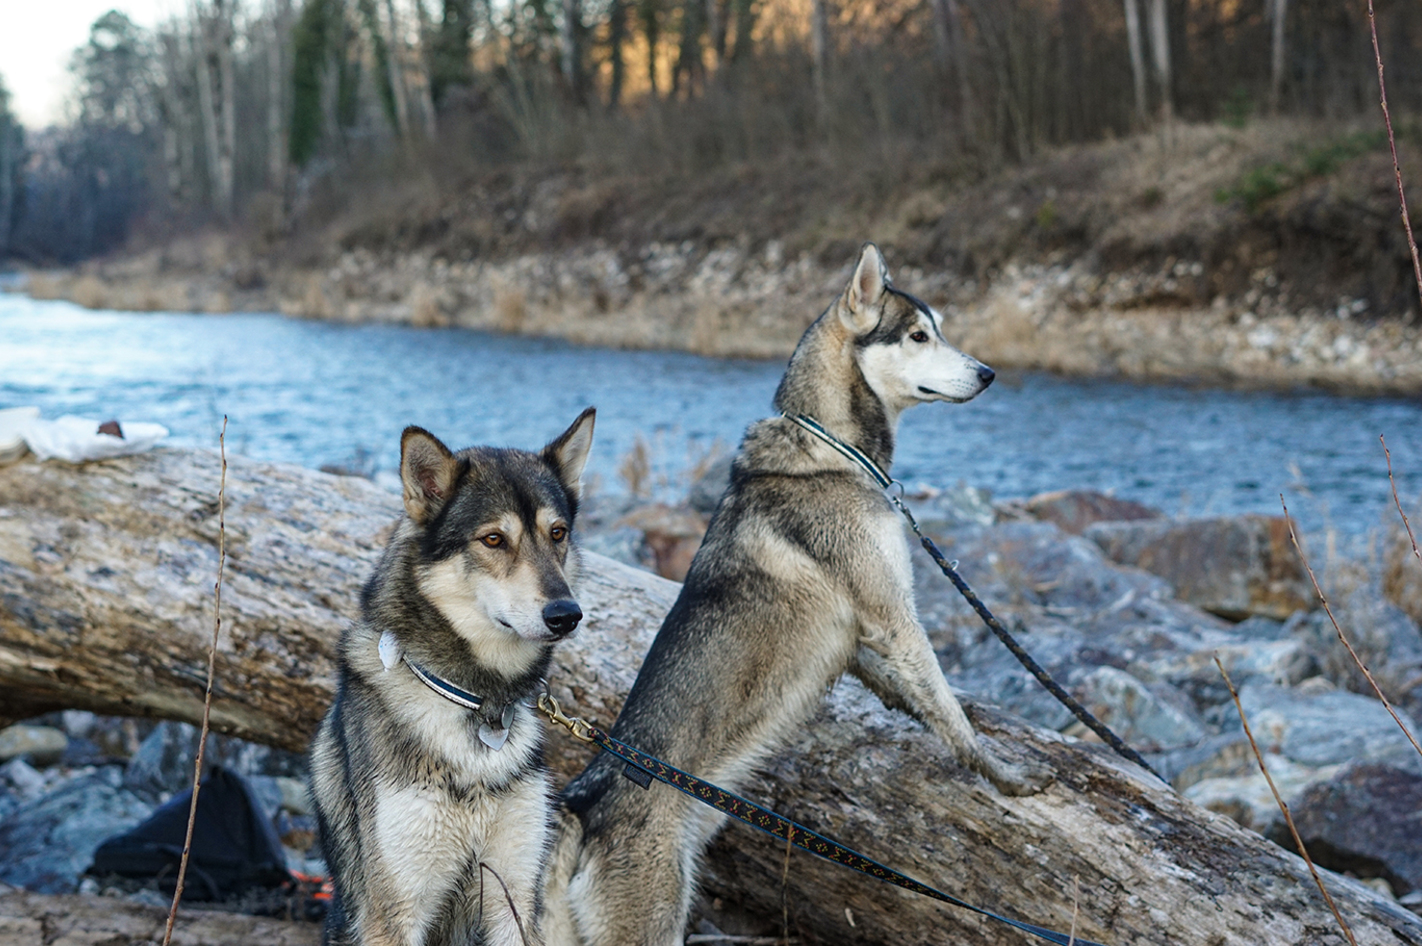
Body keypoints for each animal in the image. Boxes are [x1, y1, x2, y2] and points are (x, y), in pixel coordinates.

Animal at [311, 409, 594, 944]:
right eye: (493, 539)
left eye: (558, 533)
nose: (566, 615)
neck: (475, 701)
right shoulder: (394, 913)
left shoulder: (515, 899)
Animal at [548, 244, 1052, 944]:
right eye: (919, 336)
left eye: (940, 330)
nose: (989, 373)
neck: (830, 449)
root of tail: (584, 803)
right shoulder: (894, 616)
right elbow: (950, 713)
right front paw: (1005, 775)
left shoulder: (862, 636)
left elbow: (917, 696)